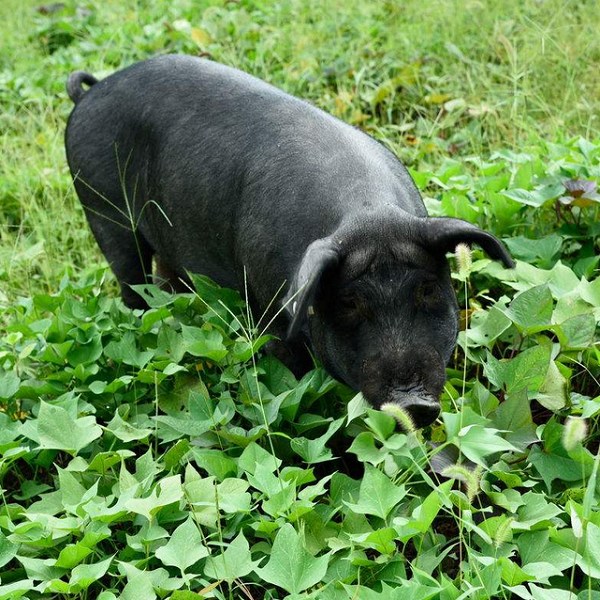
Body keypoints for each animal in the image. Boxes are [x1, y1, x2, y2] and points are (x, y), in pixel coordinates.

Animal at [67, 55, 516, 426]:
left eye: (427, 289)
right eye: (349, 302)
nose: (413, 402)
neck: (368, 213)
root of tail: (94, 90)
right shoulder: (269, 307)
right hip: (102, 209)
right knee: (131, 283)